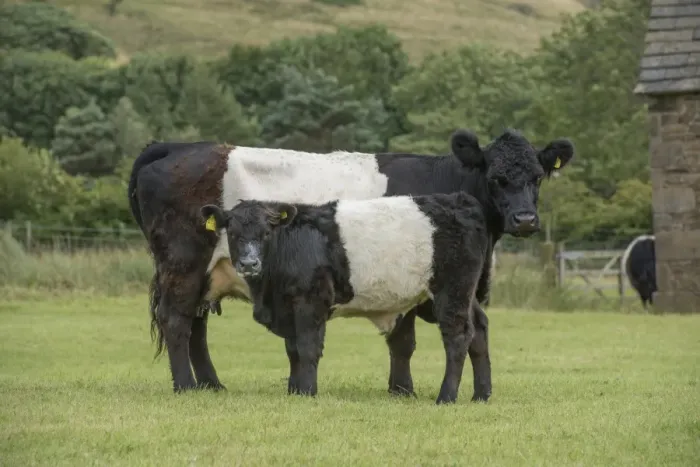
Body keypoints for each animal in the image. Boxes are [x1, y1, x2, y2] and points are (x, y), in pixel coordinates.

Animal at [200, 192, 491, 404]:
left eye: (266, 233)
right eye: (233, 233)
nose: (249, 263)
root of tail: (459, 201)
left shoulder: (311, 301)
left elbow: (307, 348)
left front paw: (307, 392)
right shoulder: (288, 307)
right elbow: (292, 351)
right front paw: (294, 391)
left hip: (451, 292)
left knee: (458, 337)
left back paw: (447, 397)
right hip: (459, 296)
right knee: (479, 330)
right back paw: (482, 394)